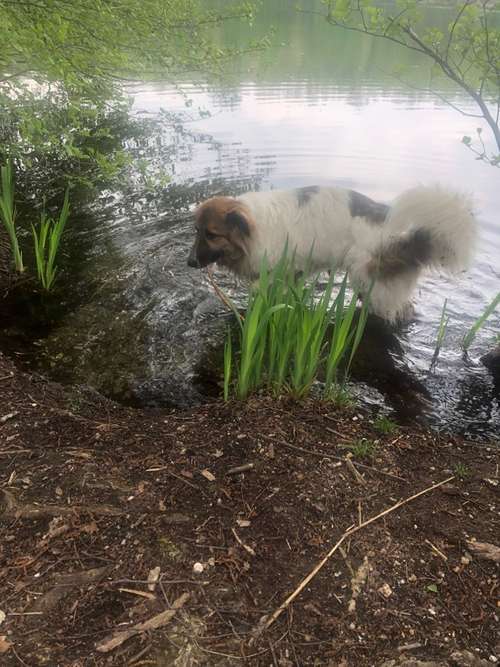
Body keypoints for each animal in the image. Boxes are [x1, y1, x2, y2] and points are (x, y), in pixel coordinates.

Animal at [188, 185, 476, 324]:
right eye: (196, 230)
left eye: (211, 234)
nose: (190, 262)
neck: (254, 228)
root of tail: (406, 237)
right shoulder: (292, 274)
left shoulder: (273, 275)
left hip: (370, 280)